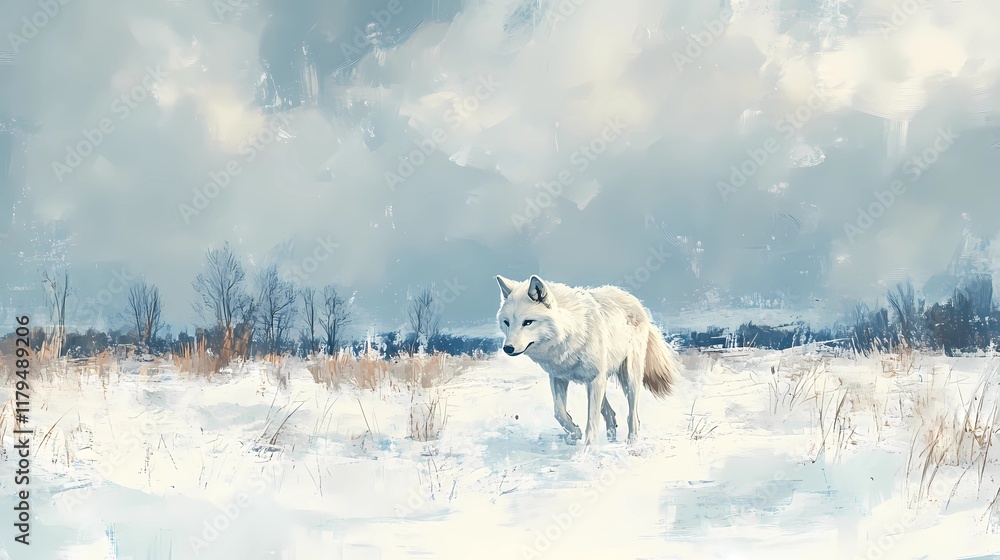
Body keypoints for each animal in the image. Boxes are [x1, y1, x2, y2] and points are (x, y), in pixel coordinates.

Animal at [495, 274, 681, 446]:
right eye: (507, 322)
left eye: (528, 322)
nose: (508, 348)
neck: (572, 331)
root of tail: (633, 299)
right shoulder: (559, 377)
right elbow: (559, 412)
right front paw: (574, 433)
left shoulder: (595, 379)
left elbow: (591, 423)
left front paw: (586, 453)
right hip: (598, 381)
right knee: (611, 414)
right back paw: (611, 441)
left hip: (629, 378)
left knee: (633, 416)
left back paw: (630, 445)